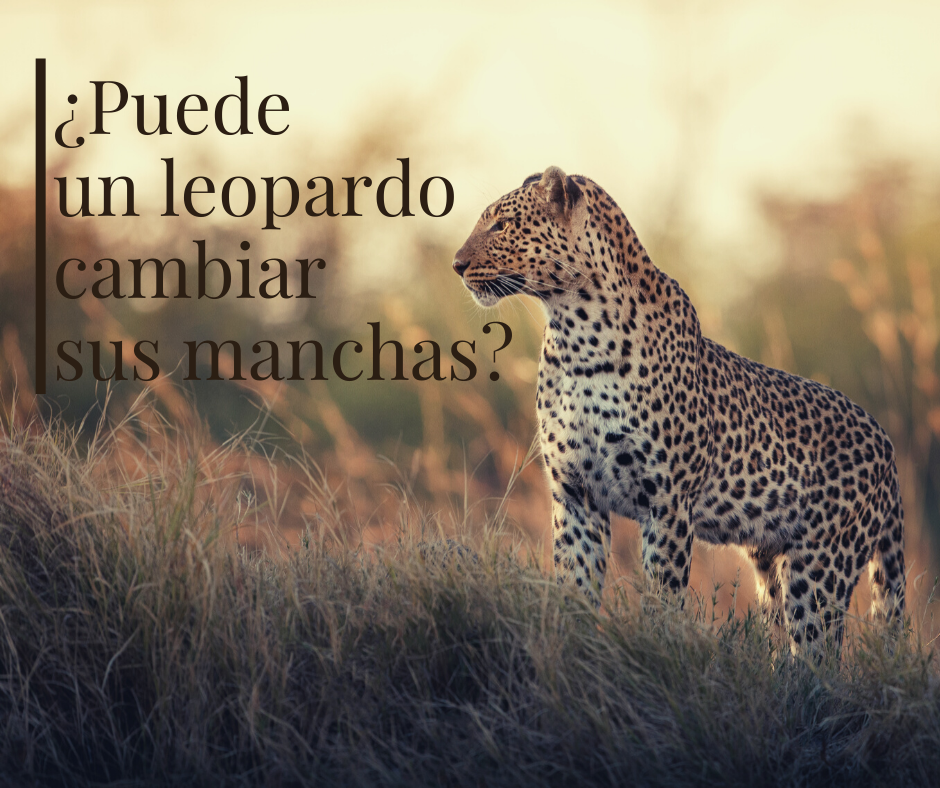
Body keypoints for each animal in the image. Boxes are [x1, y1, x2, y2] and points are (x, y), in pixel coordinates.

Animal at [453, 165, 906, 655]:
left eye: (501, 225)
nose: (457, 264)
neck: (575, 332)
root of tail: (886, 445)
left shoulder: (666, 501)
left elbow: (663, 596)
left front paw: (656, 649)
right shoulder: (576, 495)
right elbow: (575, 588)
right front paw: (573, 648)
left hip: (821, 566)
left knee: (818, 653)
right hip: (772, 564)